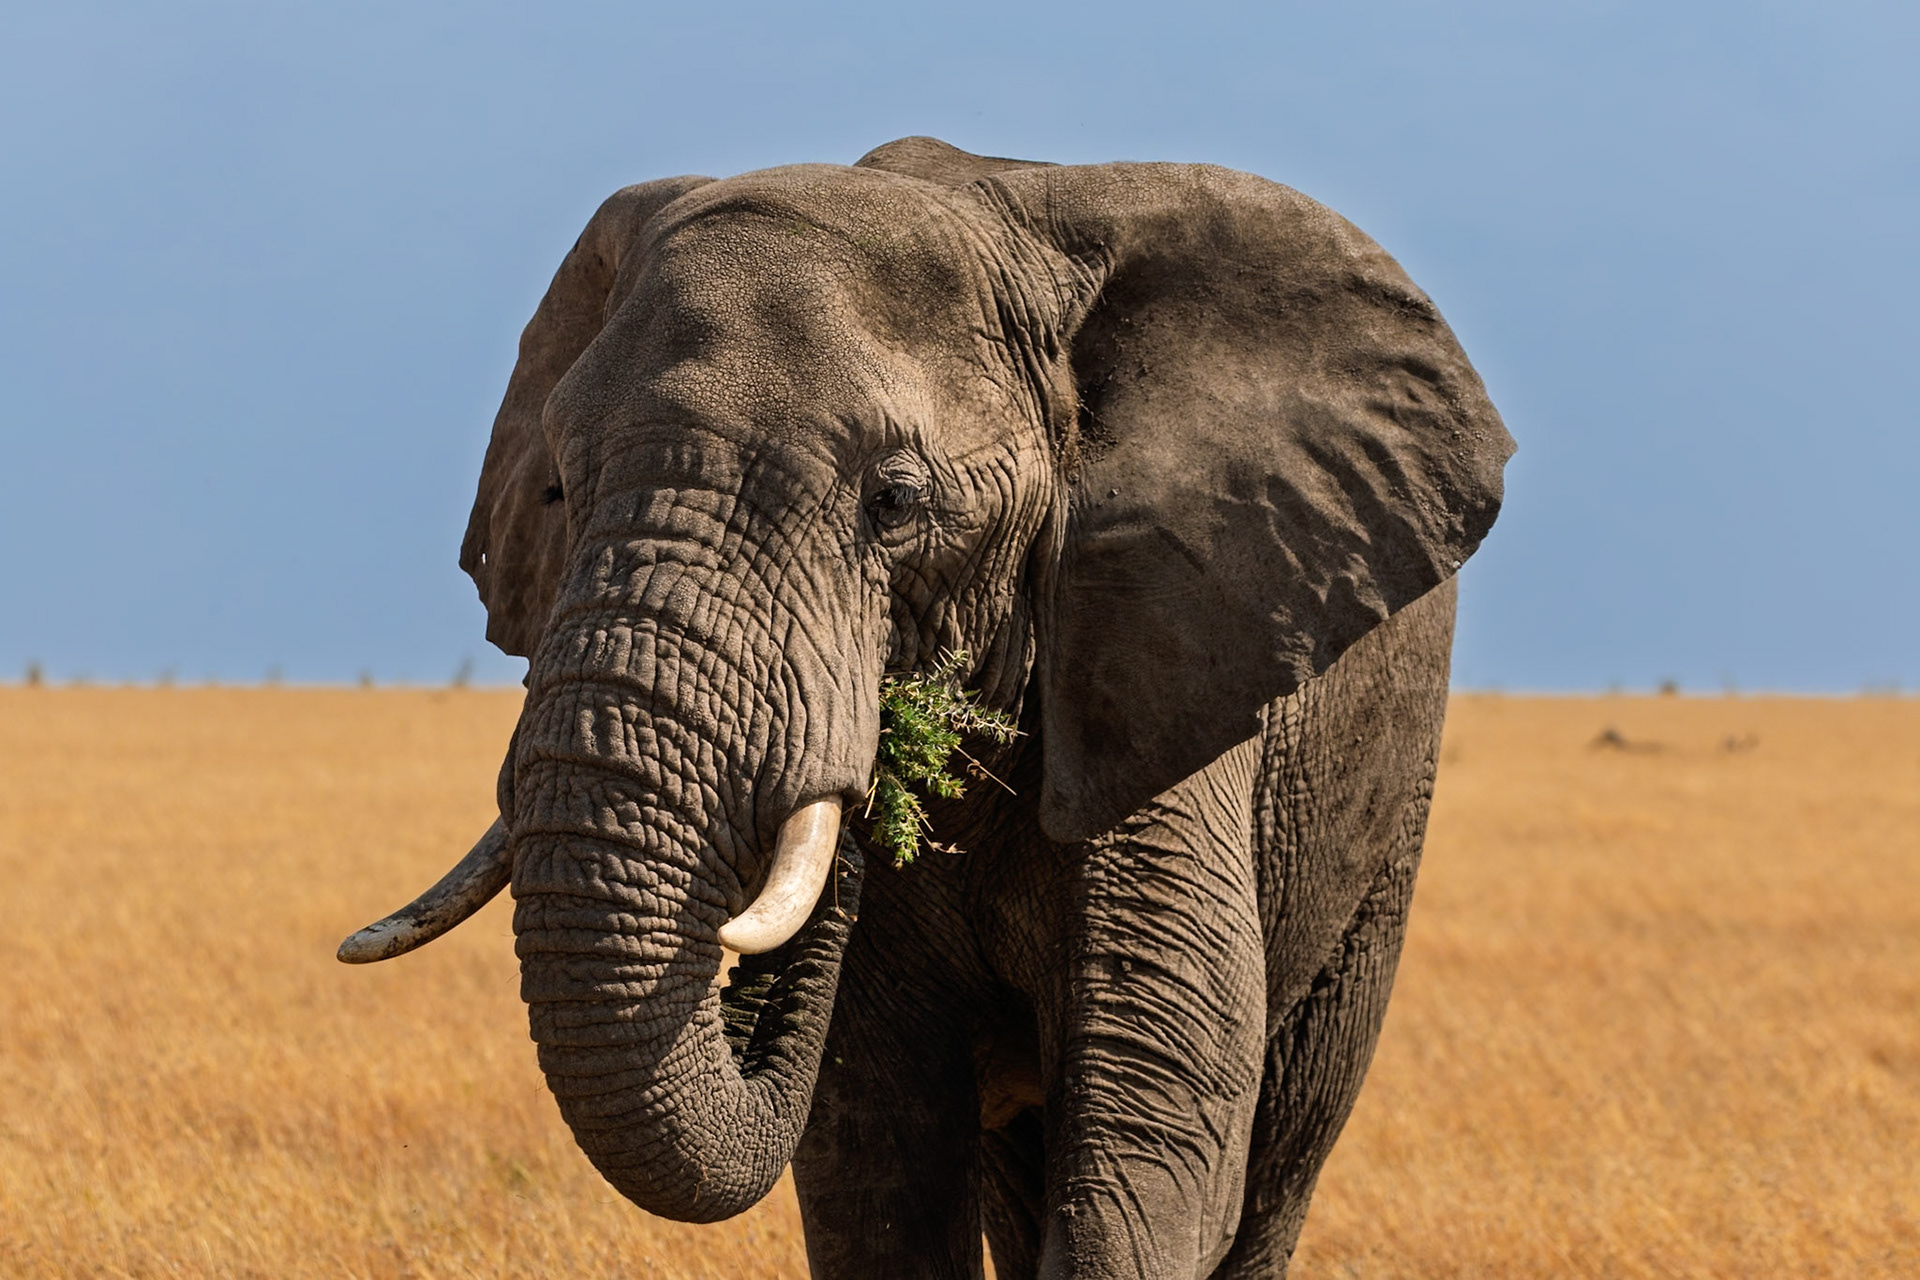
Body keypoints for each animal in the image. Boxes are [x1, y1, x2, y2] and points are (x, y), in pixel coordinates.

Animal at [341, 136, 1512, 1278]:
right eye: (560, 489)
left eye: (895, 501)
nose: (866, 783)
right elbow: (874, 1149)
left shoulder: (1165, 656)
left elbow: (1158, 1105)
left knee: (1280, 1152)